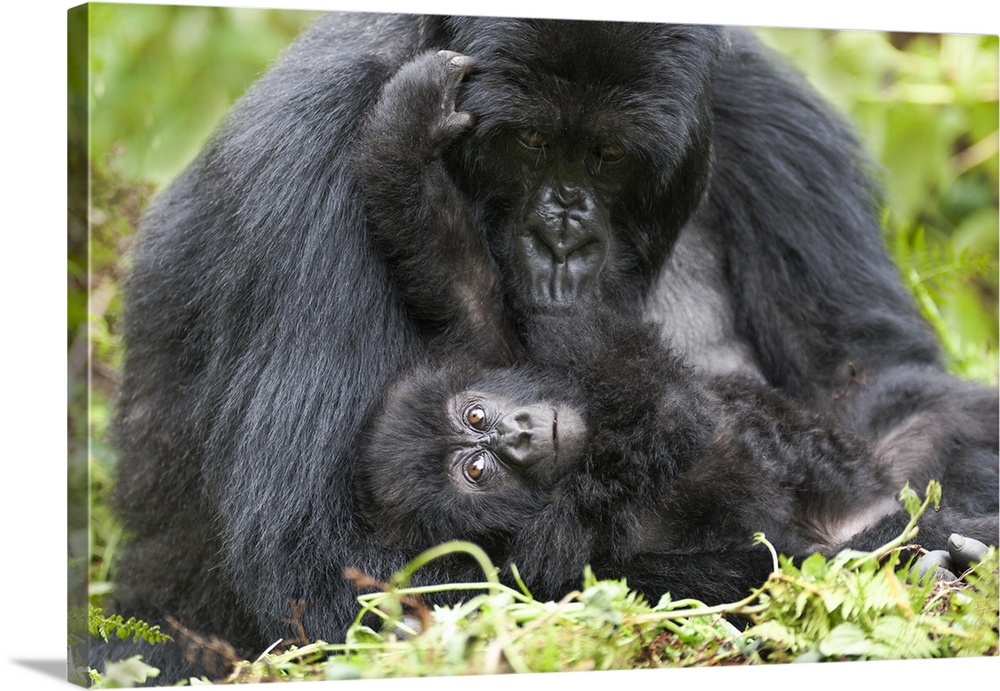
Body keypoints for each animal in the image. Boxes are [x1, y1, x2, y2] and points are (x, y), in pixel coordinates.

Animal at [101, 13, 1000, 684]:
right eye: (529, 141)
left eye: (608, 155)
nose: (562, 236)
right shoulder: (310, 140)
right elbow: (344, 582)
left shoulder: (760, 100)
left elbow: (871, 379)